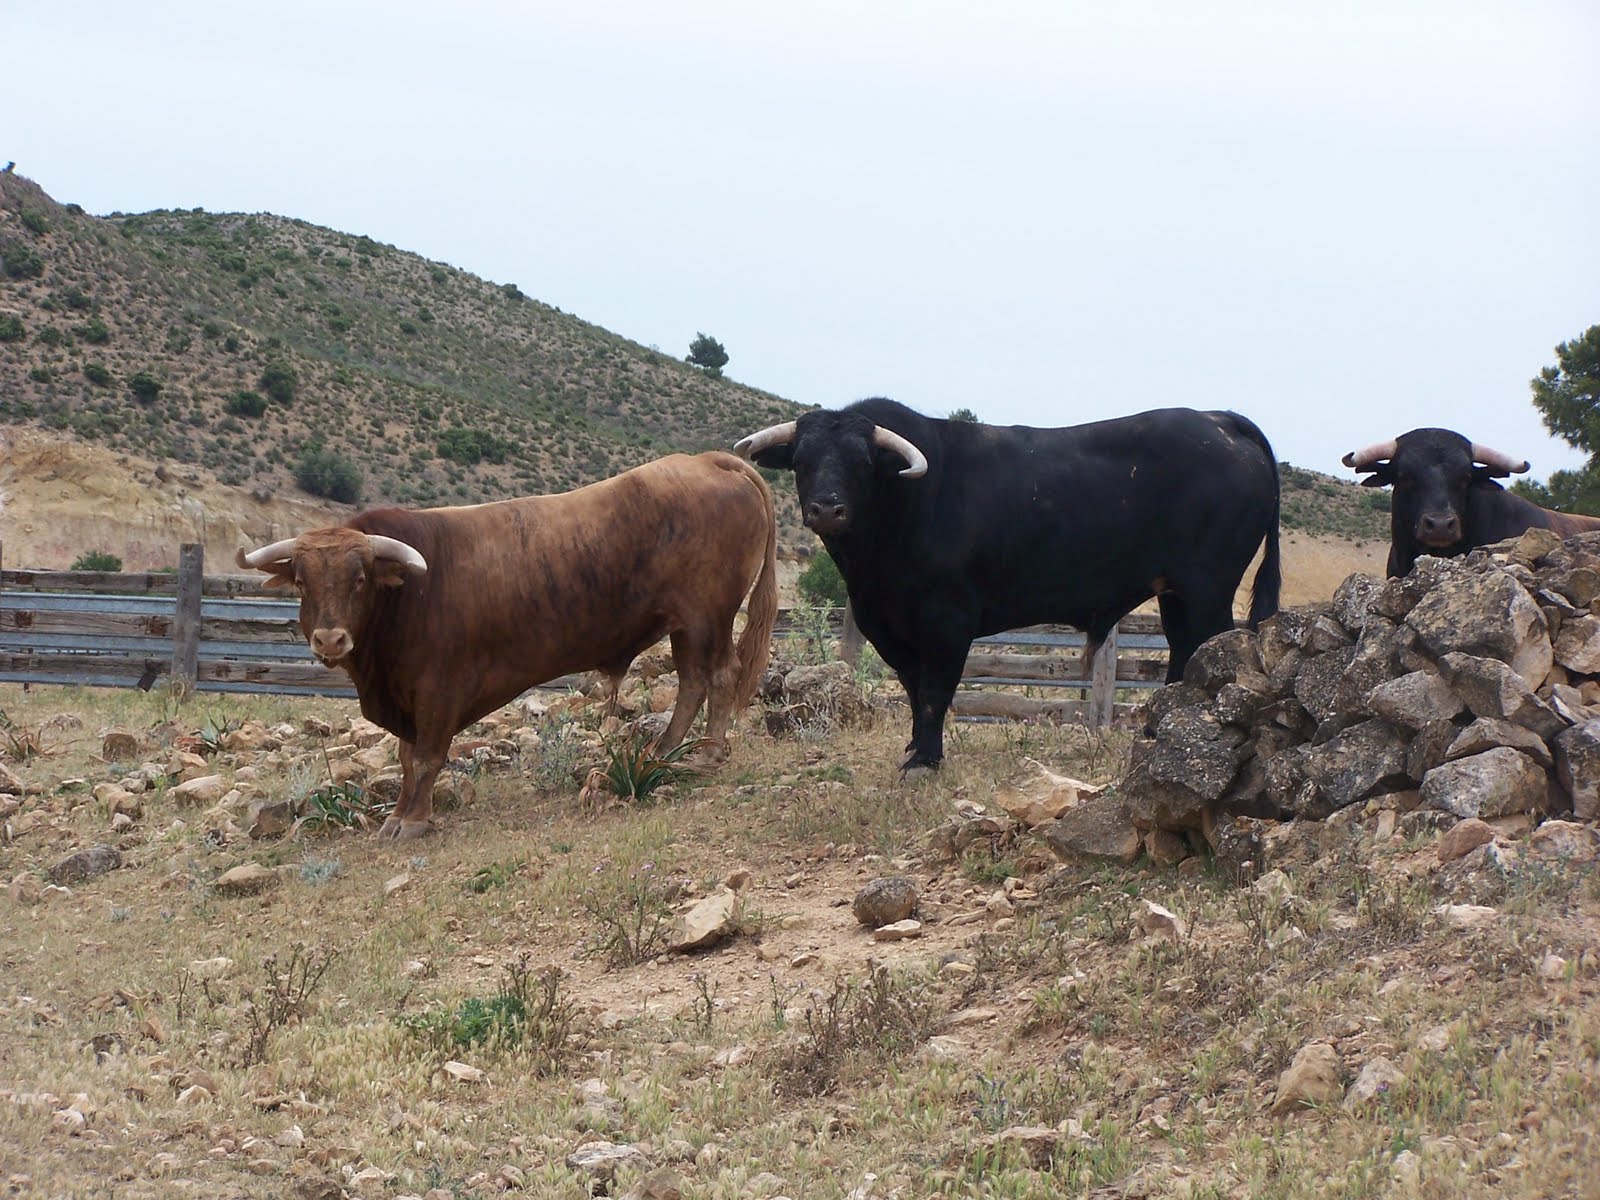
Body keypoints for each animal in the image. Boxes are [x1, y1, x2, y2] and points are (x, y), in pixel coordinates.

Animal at [238, 454, 780, 838]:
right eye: (302, 581)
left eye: (359, 578)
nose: (329, 638)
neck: (408, 595)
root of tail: (708, 460)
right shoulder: (407, 697)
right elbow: (406, 757)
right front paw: (397, 815)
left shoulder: (438, 689)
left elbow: (426, 756)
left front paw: (414, 820)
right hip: (684, 624)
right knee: (692, 681)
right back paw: (664, 751)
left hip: (707, 616)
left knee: (719, 676)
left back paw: (706, 754)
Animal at [742, 396, 1280, 771]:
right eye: (802, 460)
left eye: (863, 463)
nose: (827, 509)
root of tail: (1219, 419)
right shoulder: (886, 624)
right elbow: (913, 689)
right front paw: (914, 748)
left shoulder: (948, 621)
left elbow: (935, 691)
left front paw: (925, 761)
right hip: (1177, 592)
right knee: (1184, 650)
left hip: (1208, 588)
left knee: (1211, 647)